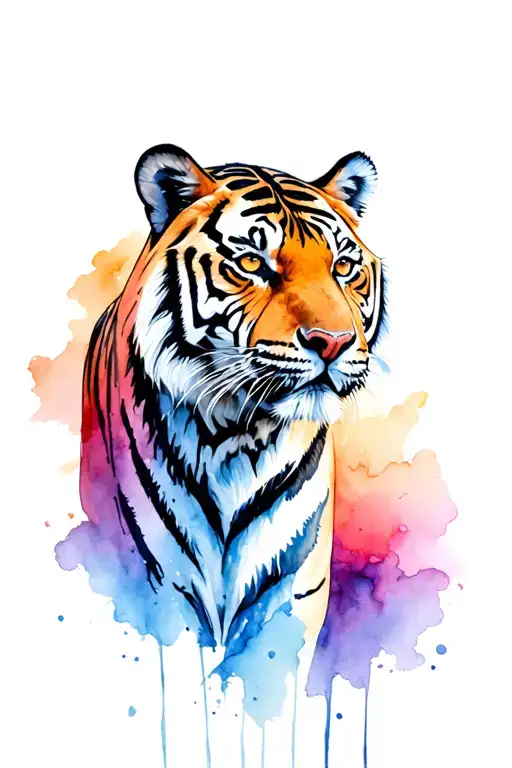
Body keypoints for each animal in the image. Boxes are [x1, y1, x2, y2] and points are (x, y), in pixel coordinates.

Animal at [80, 143, 385, 656]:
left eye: (343, 267)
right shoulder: (164, 591)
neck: (239, 438)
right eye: (253, 264)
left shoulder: (293, 596)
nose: (333, 342)